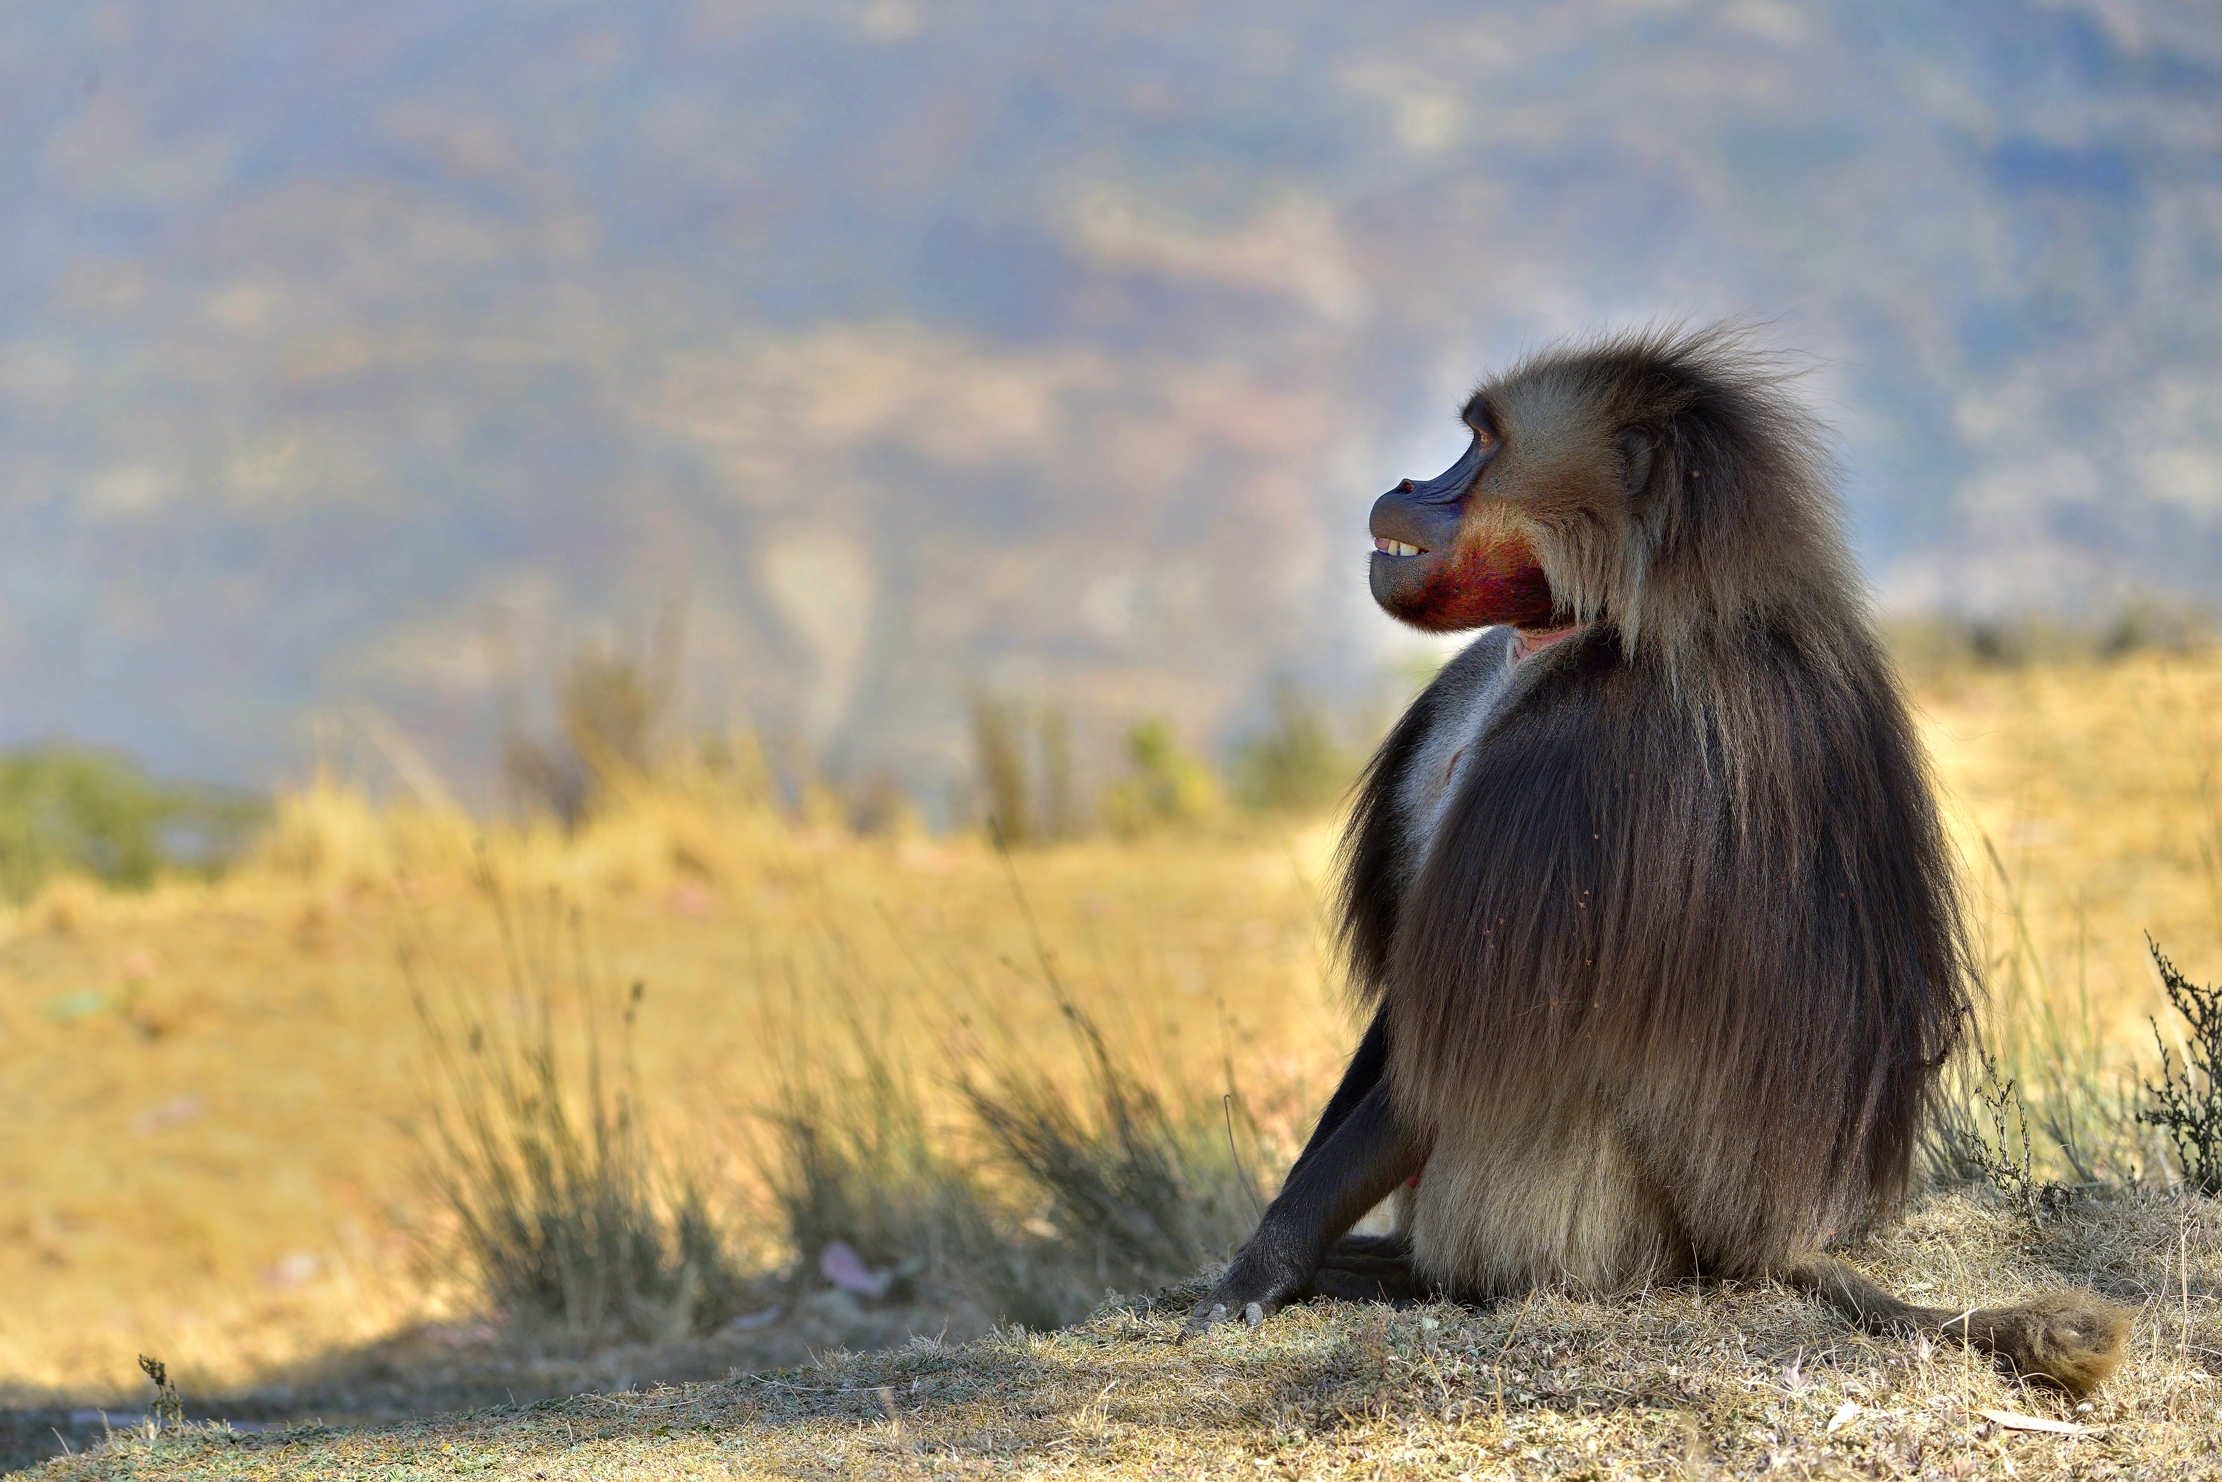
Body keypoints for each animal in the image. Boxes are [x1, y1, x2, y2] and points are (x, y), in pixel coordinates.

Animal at [1184, 325, 2131, 1397]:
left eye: (1481, 442)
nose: (1406, 484)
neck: (1599, 621)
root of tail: (1769, 1239)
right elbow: (1411, 1024)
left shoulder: (1583, 759)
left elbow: (1459, 1045)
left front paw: (1265, 1268)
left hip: (1595, 1227)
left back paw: (1404, 1279)